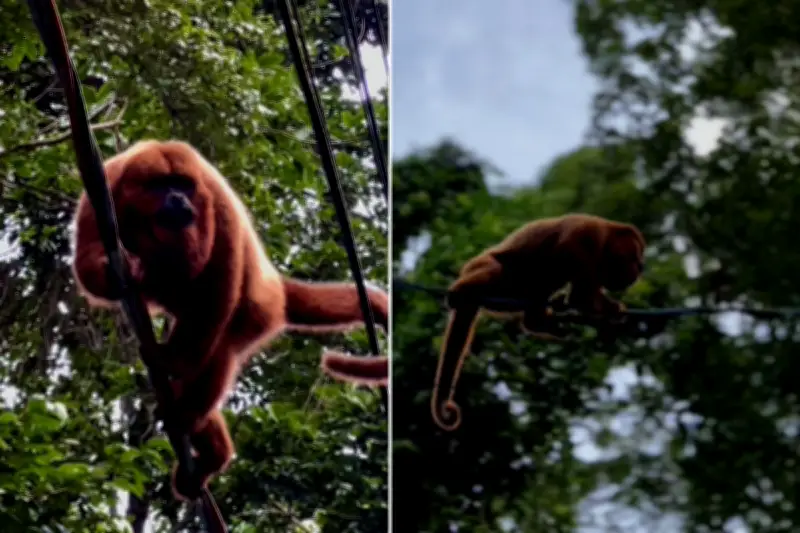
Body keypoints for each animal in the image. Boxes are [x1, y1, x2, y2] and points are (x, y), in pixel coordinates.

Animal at [71, 140, 389, 501]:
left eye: (183, 185)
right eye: (160, 185)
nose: (178, 199)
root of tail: (274, 287)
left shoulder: (215, 199)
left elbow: (221, 283)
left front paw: (171, 360)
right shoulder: (104, 187)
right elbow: (87, 259)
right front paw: (119, 270)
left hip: (254, 314)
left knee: (218, 348)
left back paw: (192, 421)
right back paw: (209, 448)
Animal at [431, 213, 645, 431]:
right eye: (635, 256)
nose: (640, 267)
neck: (607, 236)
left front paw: (614, 309)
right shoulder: (587, 235)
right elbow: (580, 296)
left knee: (543, 283)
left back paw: (539, 320)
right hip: (485, 269)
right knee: (497, 270)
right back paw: (459, 292)